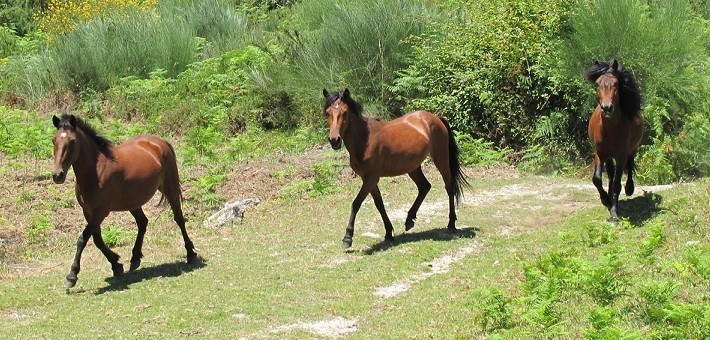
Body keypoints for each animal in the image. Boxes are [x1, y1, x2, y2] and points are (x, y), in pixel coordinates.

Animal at [51, 114, 197, 286]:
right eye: (54, 140)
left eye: (73, 141)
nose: (57, 175)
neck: (96, 171)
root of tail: (160, 142)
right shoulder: (88, 211)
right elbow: (97, 240)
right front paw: (116, 264)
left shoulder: (101, 212)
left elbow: (83, 239)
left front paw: (72, 276)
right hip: (133, 201)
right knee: (142, 222)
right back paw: (135, 258)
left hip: (170, 189)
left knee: (179, 219)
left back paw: (190, 253)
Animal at [324, 87, 470, 247]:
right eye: (328, 112)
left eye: (344, 112)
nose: (334, 140)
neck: (365, 140)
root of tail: (435, 118)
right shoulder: (368, 179)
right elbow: (379, 204)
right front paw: (388, 233)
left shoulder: (371, 178)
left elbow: (356, 203)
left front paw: (347, 237)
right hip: (413, 167)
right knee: (424, 187)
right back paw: (409, 220)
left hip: (441, 159)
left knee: (449, 187)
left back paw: (451, 224)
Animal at [588, 59, 644, 223]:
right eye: (597, 84)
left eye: (616, 84)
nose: (607, 108)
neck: (610, 129)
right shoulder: (599, 153)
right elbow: (597, 179)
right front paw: (606, 200)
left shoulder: (621, 155)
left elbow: (617, 185)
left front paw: (614, 213)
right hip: (608, 155)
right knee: (610, 174)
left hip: (631, 150)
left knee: (629, 166)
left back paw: (629, 189)